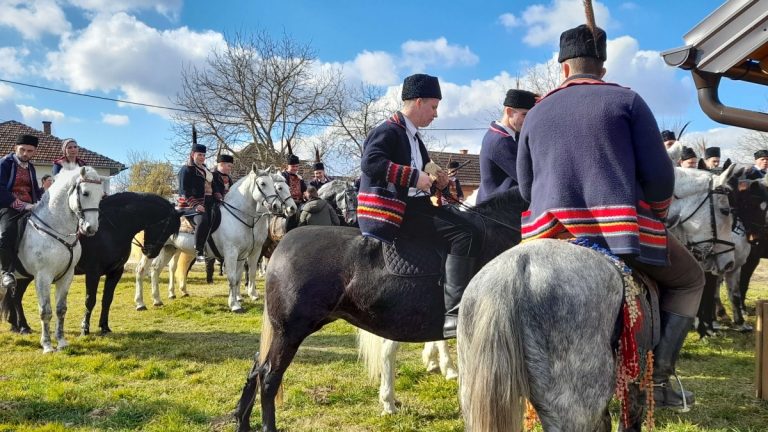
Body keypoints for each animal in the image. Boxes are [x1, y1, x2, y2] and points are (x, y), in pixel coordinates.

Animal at [4, 167, 104, 352]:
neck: (56, 229)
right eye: (85, 193)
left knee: (15, 298)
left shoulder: (66, 276)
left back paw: (21, 327)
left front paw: (62, 342)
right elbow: (45, 311)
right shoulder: (43, 277)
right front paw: (47, 345)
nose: (91, 228)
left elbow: (60, 309)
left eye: (101, 195)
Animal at [4, 192, 180, 334]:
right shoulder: (93, 273)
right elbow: (90, 300)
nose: (151, 252)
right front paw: (85, 328)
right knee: (15, 296)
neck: (111, 228)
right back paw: (23, 326)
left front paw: (104, 327)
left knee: (15, 296)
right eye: (167, 227)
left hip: (27, 275)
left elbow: (107, 300)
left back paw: (17, 325)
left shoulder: (115, 272)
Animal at [136, 167, 296, 312]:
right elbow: (233, 277)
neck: (240, 217)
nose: (279, 206)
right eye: (263, 184)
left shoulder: (243, 255)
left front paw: (239, 298)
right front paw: (235, 305)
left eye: (276, 185)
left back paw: (158, 300)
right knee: (142, 269)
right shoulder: (233, 253)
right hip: (152, 249)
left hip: (169, 248)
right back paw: (140, 303)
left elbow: (239, 277)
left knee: (157, 269)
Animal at [232, 192, 520, 432]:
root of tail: (285, 243)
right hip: (290, 332)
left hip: (282, 331)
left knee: (256, 367)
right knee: (268, 377)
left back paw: (242, 421)